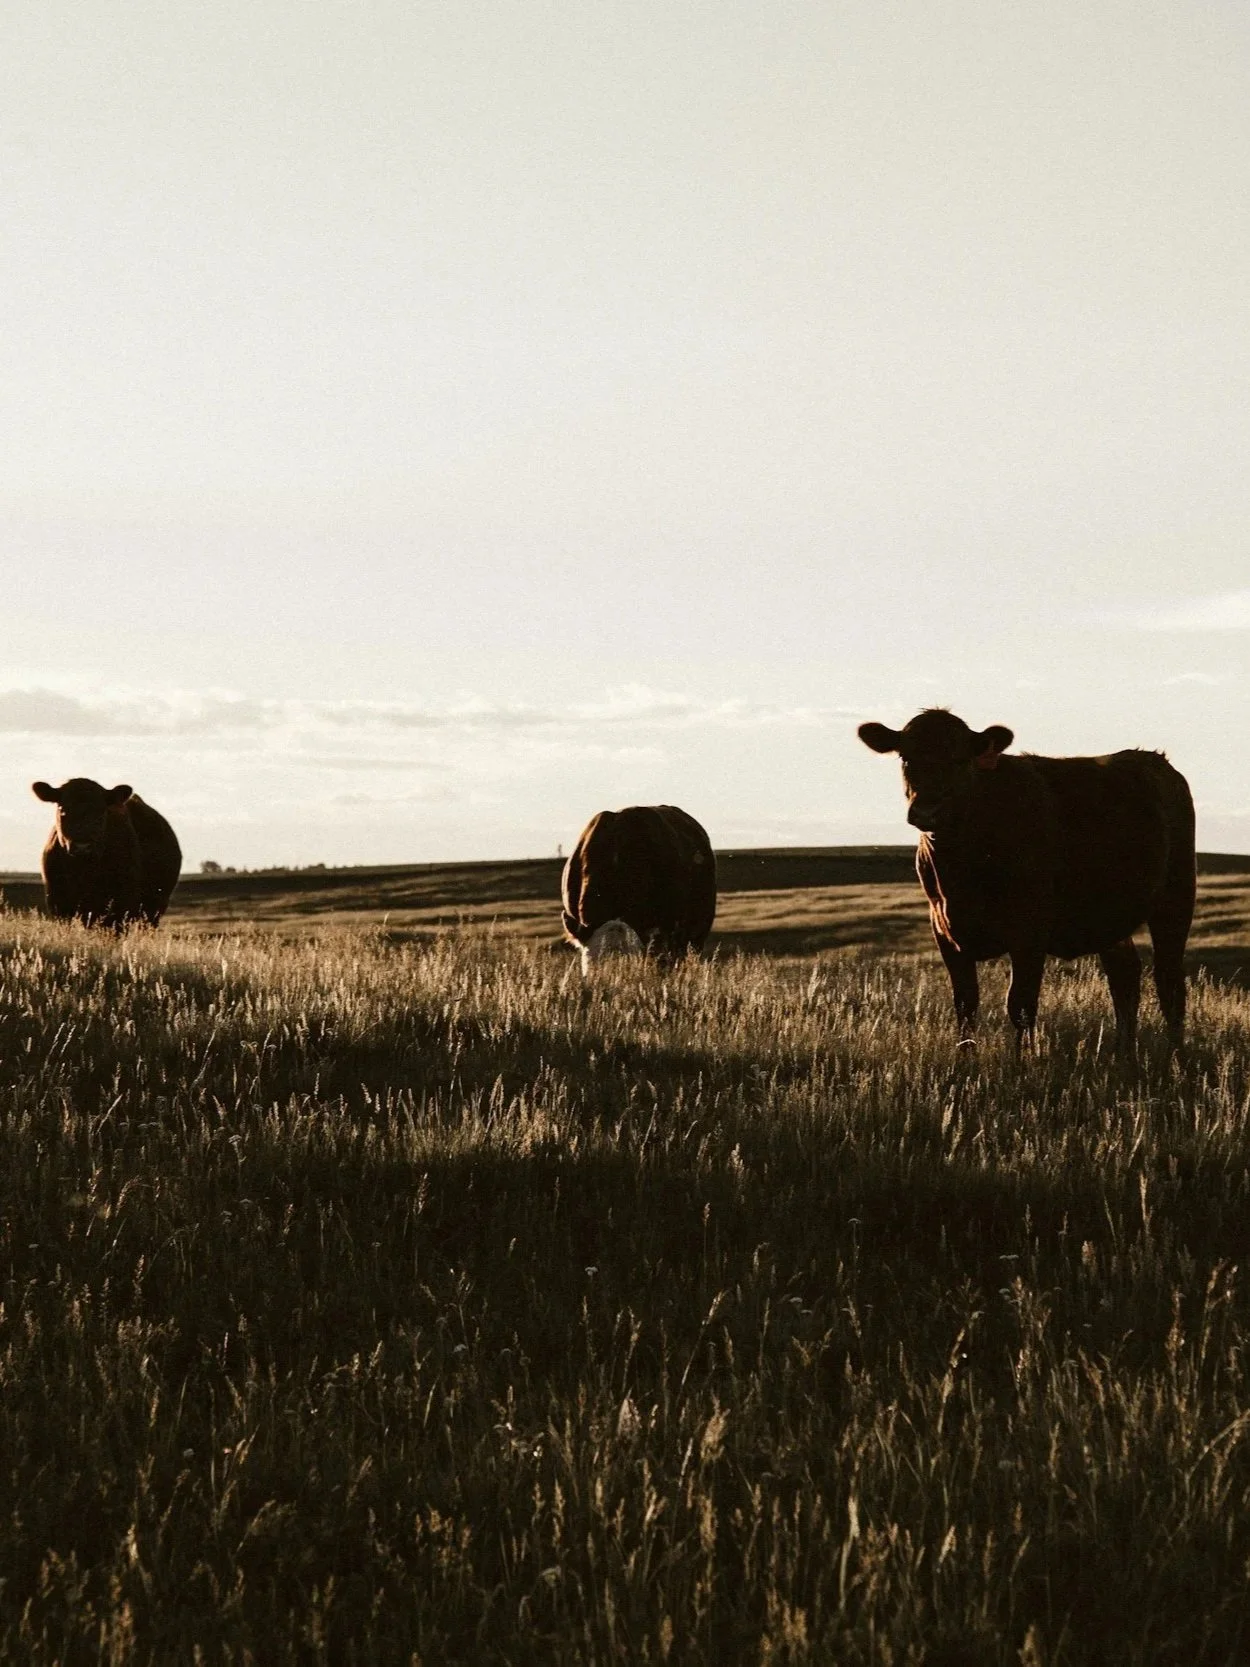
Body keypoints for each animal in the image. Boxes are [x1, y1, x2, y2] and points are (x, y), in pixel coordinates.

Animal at [32, 778, 182, 930]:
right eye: (63, 810)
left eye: (101, 812)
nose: (82, 847)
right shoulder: (59, 903)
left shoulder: (122, 905)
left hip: (154, 908)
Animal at [857, 710, 1195, 1052]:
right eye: (906, 757)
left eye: (960, 759)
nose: (927, 811)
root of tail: (1154, 760)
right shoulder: (945, 932)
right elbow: (965, 1006)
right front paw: (966, 1061)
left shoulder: (1029, 931)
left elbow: (1020, 1005)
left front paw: (1022, 1062)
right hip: (1110, 916)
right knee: (1124, 976)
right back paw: (1124, 1052)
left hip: (1176, 898)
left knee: (1169, 981)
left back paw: (1175, 1053)